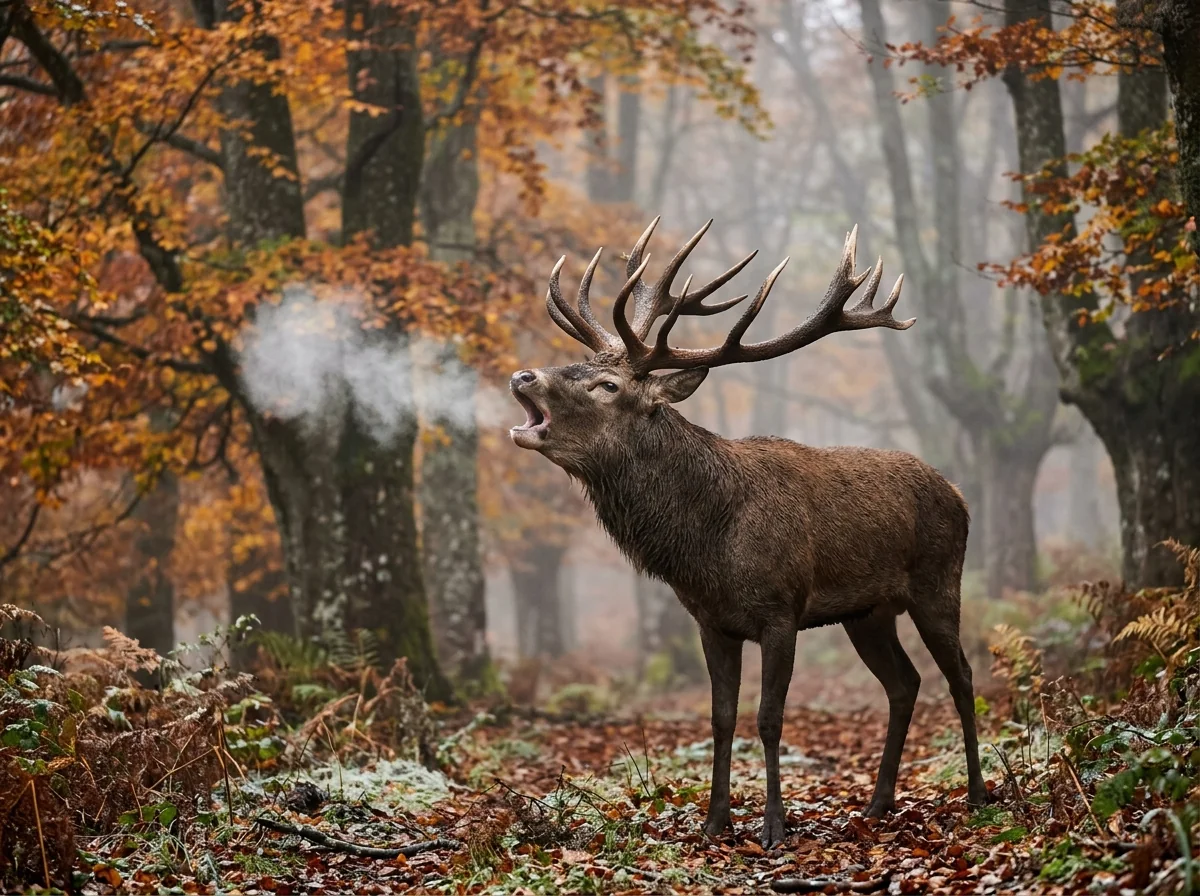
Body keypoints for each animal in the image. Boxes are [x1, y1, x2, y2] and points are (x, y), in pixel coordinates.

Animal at [508, 219, 987, 847]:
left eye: (608, 385)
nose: (523, 374)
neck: (707, 546)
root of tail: (960, 495)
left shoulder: (781, 611)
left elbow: (769, 717)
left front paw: (774, 826)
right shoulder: (712, 622)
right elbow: (721, 717)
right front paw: (715, 821)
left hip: (938, 582)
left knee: (961, 676)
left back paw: (978, 794)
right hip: (868, 613)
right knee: (904, 684)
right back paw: (879, 803)